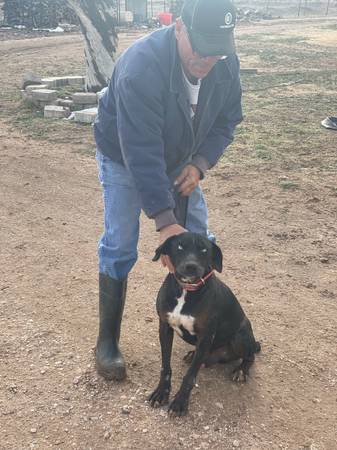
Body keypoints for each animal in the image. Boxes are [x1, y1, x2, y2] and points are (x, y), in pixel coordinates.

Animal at [148, 234, 262, 416]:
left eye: (204, 250)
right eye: (179, 246)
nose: (191, 266)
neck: (186, 290)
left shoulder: (205, 337)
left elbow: (190, 376)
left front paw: (180, 402)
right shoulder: (165, 327)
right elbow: (165, 367)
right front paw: (161, 393)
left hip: (240, 337)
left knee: (250, 356)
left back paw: (241, 370)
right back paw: (192, 354)